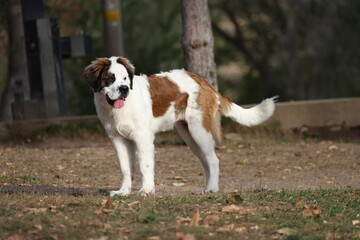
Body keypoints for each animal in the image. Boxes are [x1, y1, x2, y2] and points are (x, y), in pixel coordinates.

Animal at [83, 56, 278, 197]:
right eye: (110, 79)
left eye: (125, 79)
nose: (124, 89)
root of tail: (201, 80)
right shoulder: (118, 139)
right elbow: (125, 168)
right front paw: (123, 191)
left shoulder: (142, 137)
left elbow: (145, 164)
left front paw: (146, 190)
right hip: (190, 138)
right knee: (206, 161)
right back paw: (207, 187)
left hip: (199, 131)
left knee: (213, 160)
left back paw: (212, 189)